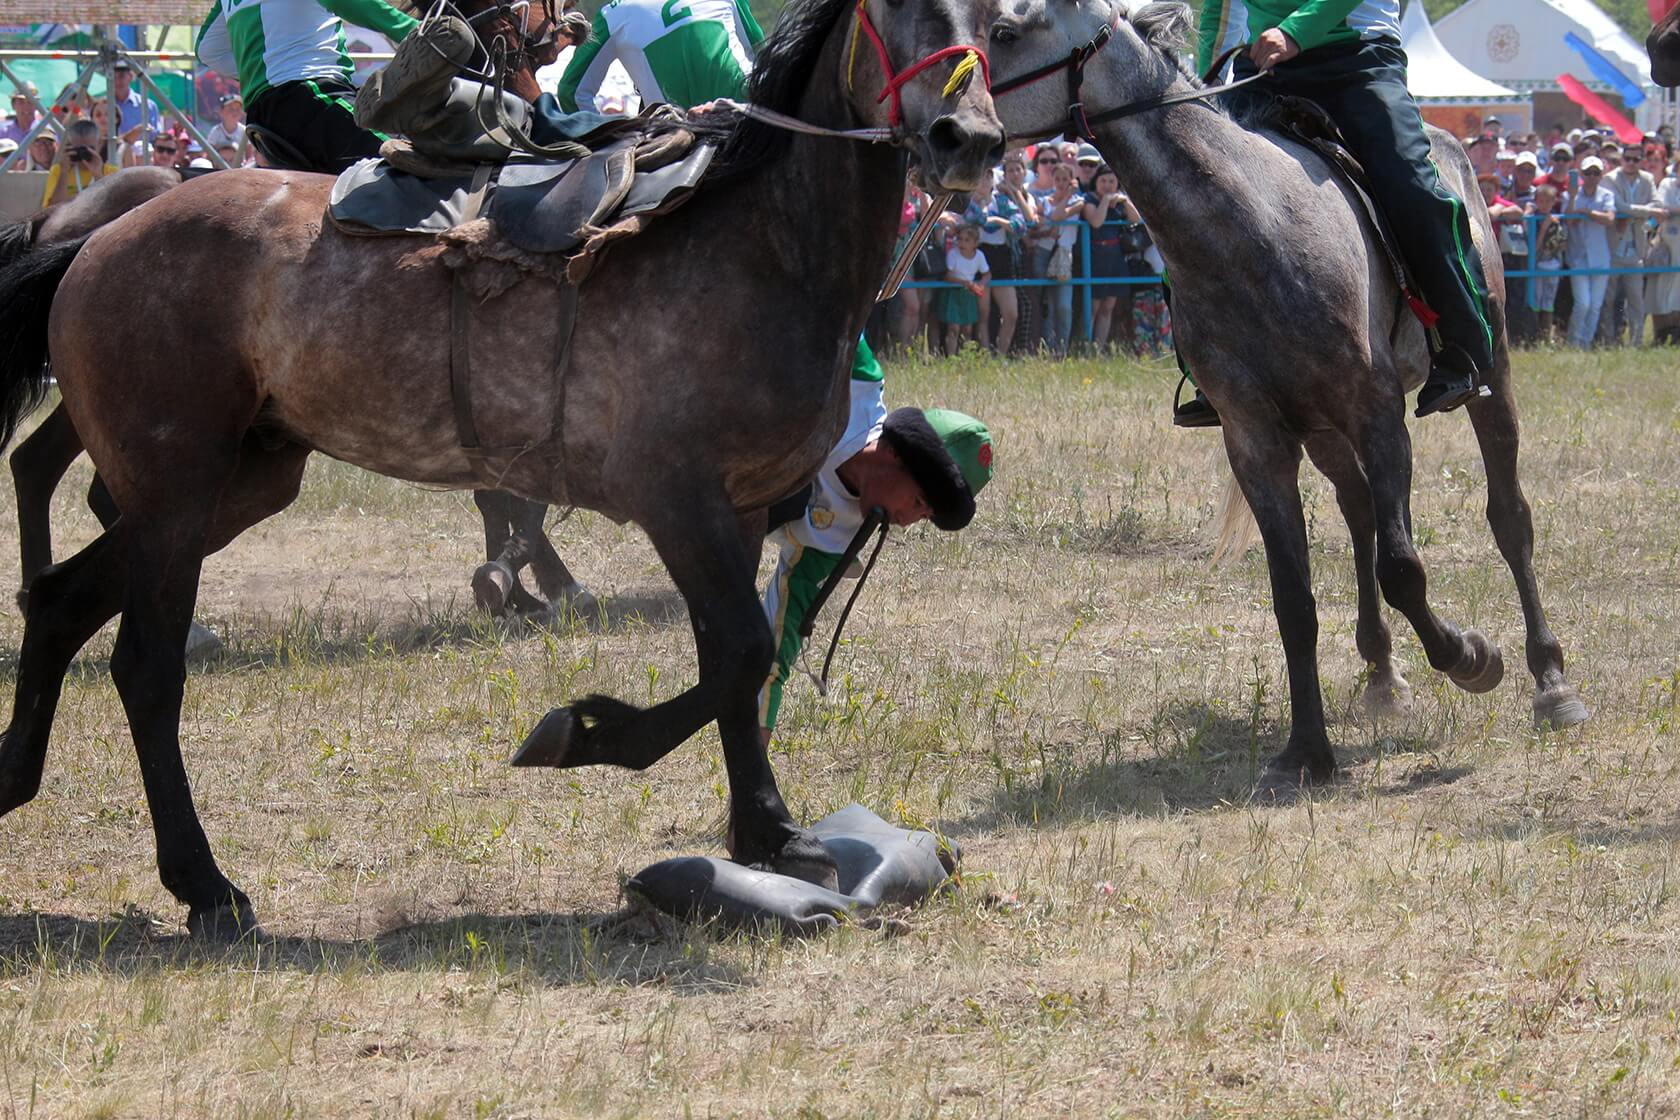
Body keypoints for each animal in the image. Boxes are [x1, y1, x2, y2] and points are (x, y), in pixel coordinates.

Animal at [0, 0, 994, 940]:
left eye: (999, 19)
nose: (970, 138)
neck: (761, 245)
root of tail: (97, 239)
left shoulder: (741, 513)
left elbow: (739, 664)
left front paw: (769, 834)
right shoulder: (678, 501)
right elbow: (741, 652)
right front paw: (585, 732)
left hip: (236, 486)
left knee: (59, 601)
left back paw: (16, 778)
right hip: (176, 490)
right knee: (144, 665)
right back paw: (204, 884)